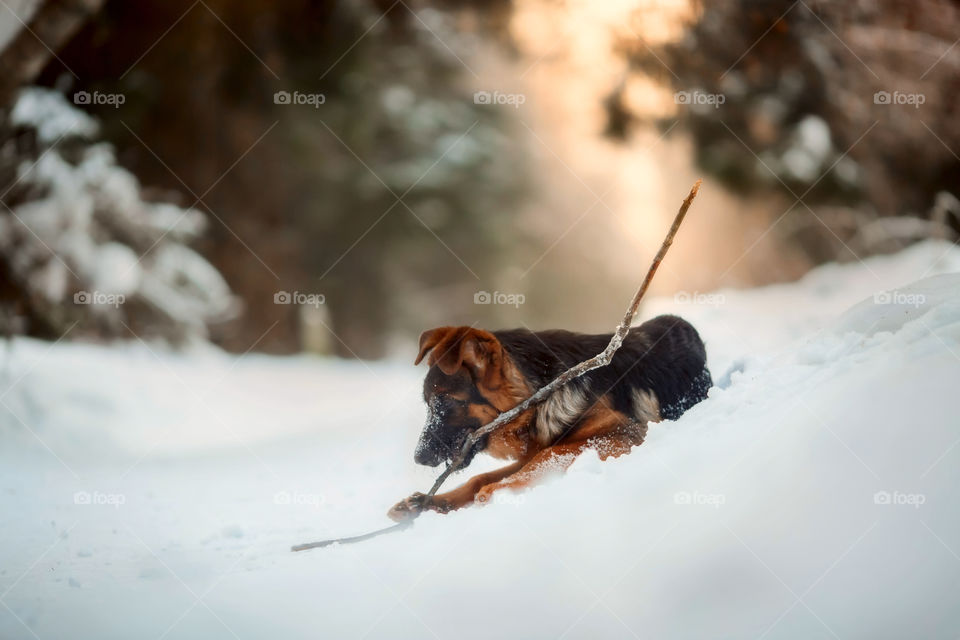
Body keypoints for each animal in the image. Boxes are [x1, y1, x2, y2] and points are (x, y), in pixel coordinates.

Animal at [386, 316, 708, 520]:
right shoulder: (534, 448)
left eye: (447, 403)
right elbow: (479, 478)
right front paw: (427, 503)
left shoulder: (622, 431)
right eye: (428, 404)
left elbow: (550, 455)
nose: (418, 457)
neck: (541, 397)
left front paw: (496, 492)